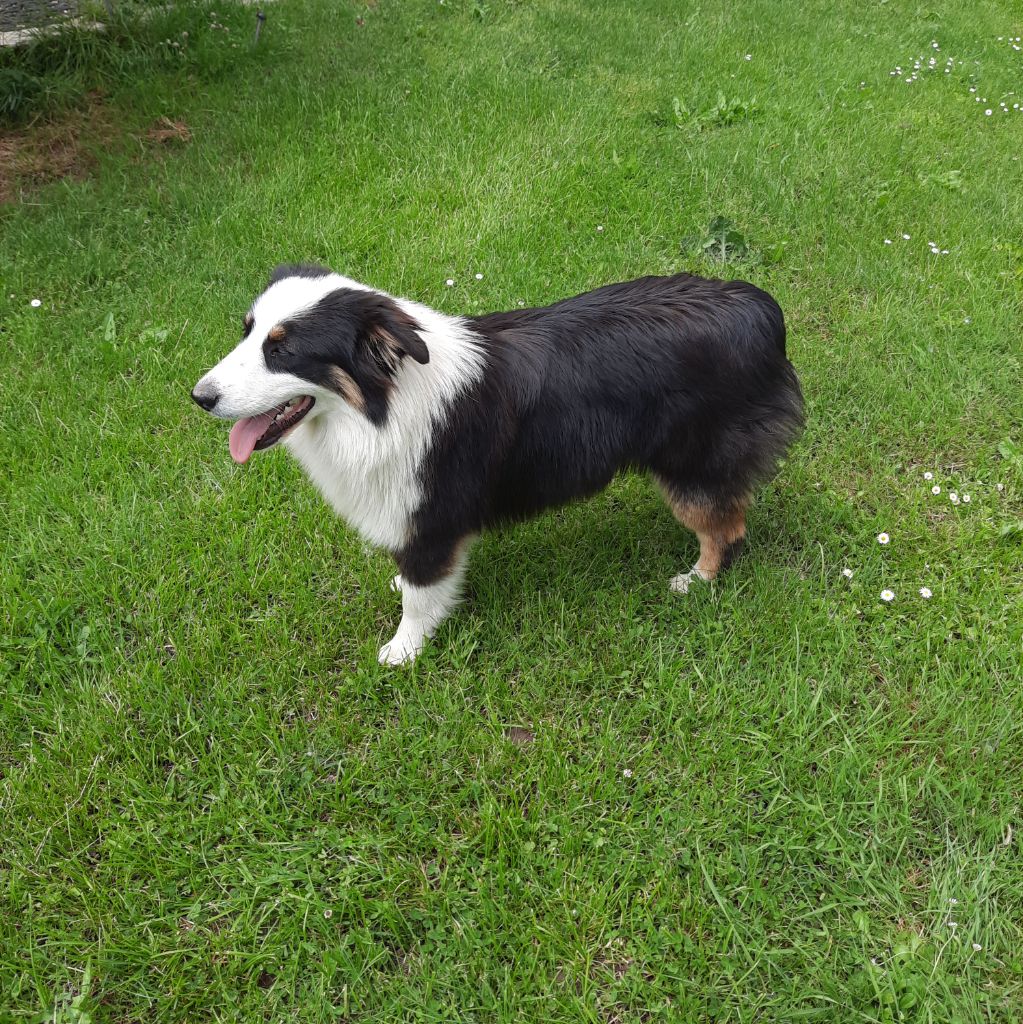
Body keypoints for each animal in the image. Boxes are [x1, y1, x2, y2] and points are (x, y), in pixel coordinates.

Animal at [190, 264, 798, 663]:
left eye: (282, 351)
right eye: (247, 331)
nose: (199, 397)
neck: (381, 404)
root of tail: (761, 309)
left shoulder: (432, 513)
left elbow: (420, 596)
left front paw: (402, 651)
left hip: (692, 466)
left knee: (726, 525)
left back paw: (697, 580)